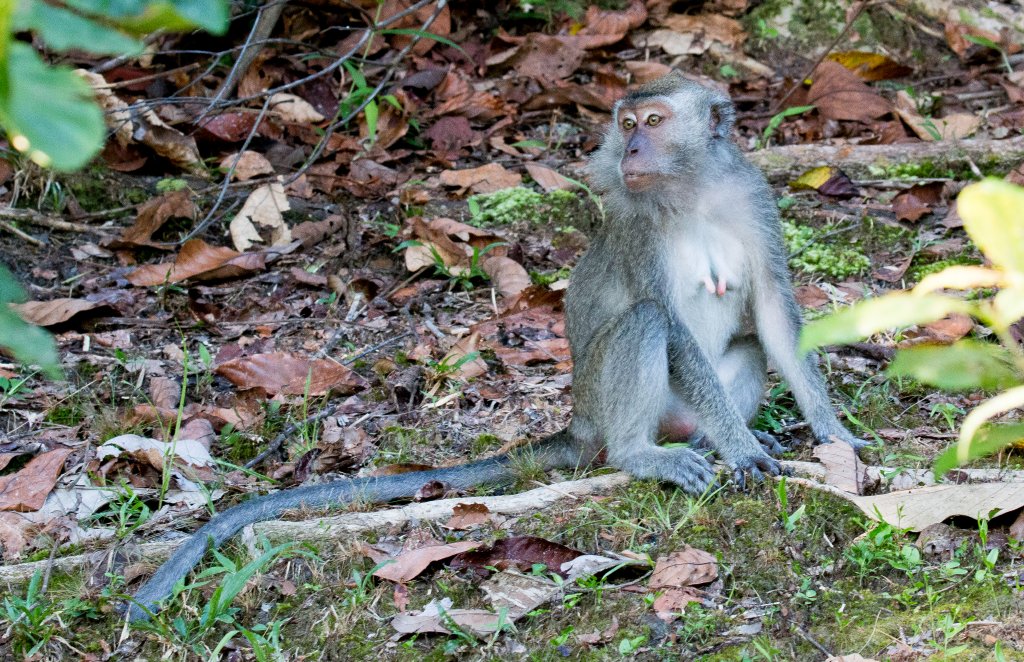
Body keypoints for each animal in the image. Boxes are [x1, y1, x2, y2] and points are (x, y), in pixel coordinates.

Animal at [125, 71, 866, 621]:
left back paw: (713, 437)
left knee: (745, 345)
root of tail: (582, 423)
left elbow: (773, 314)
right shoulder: (639, 229)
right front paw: (746, 449)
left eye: (653, 123)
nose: (629, 152)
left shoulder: (752, 198)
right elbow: (673, 324)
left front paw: (831, 433)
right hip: (603, 401)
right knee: (647, 323)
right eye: (627, 125)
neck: (693, 194)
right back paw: (643, 455)